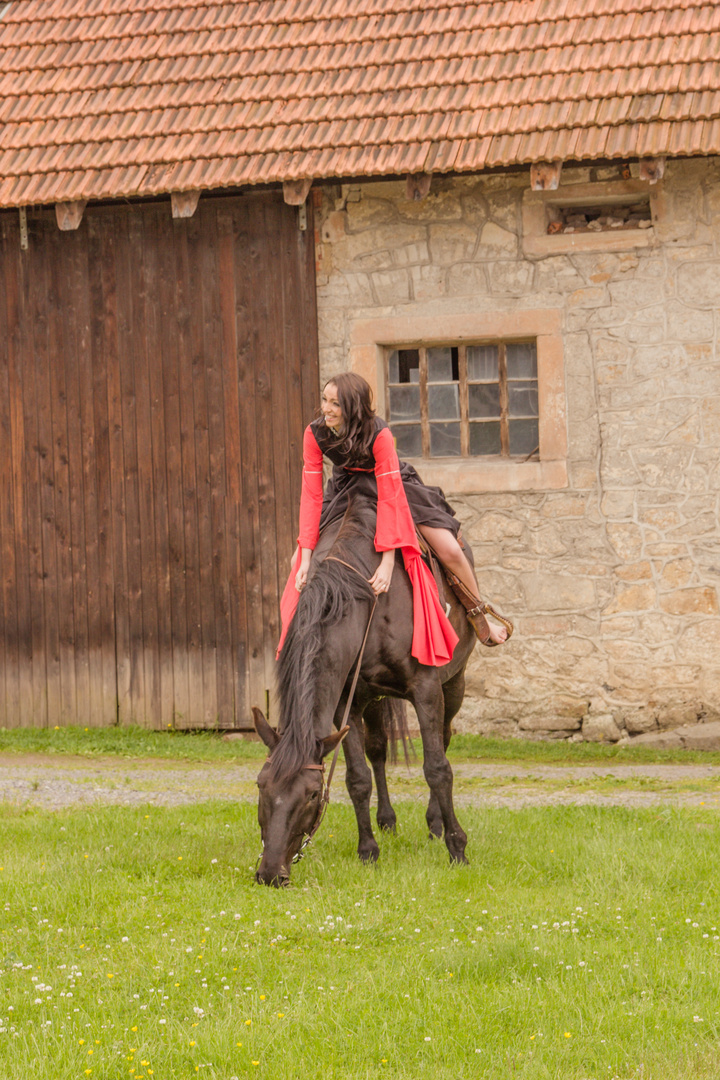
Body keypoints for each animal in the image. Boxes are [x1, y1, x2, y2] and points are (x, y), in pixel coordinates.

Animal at [253, 494, 479, 889]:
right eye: (260, 785)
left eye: (312, 794)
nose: (270, 873)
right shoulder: (347, 703)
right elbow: (357, 777)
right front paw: (368, 850)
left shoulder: (426, 689)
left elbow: (437, 768)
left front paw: (457, 848)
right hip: (375, 699)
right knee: (378, 750)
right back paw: (386, 820)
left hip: (455, 683)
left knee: (444, 738)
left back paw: (435, 822)